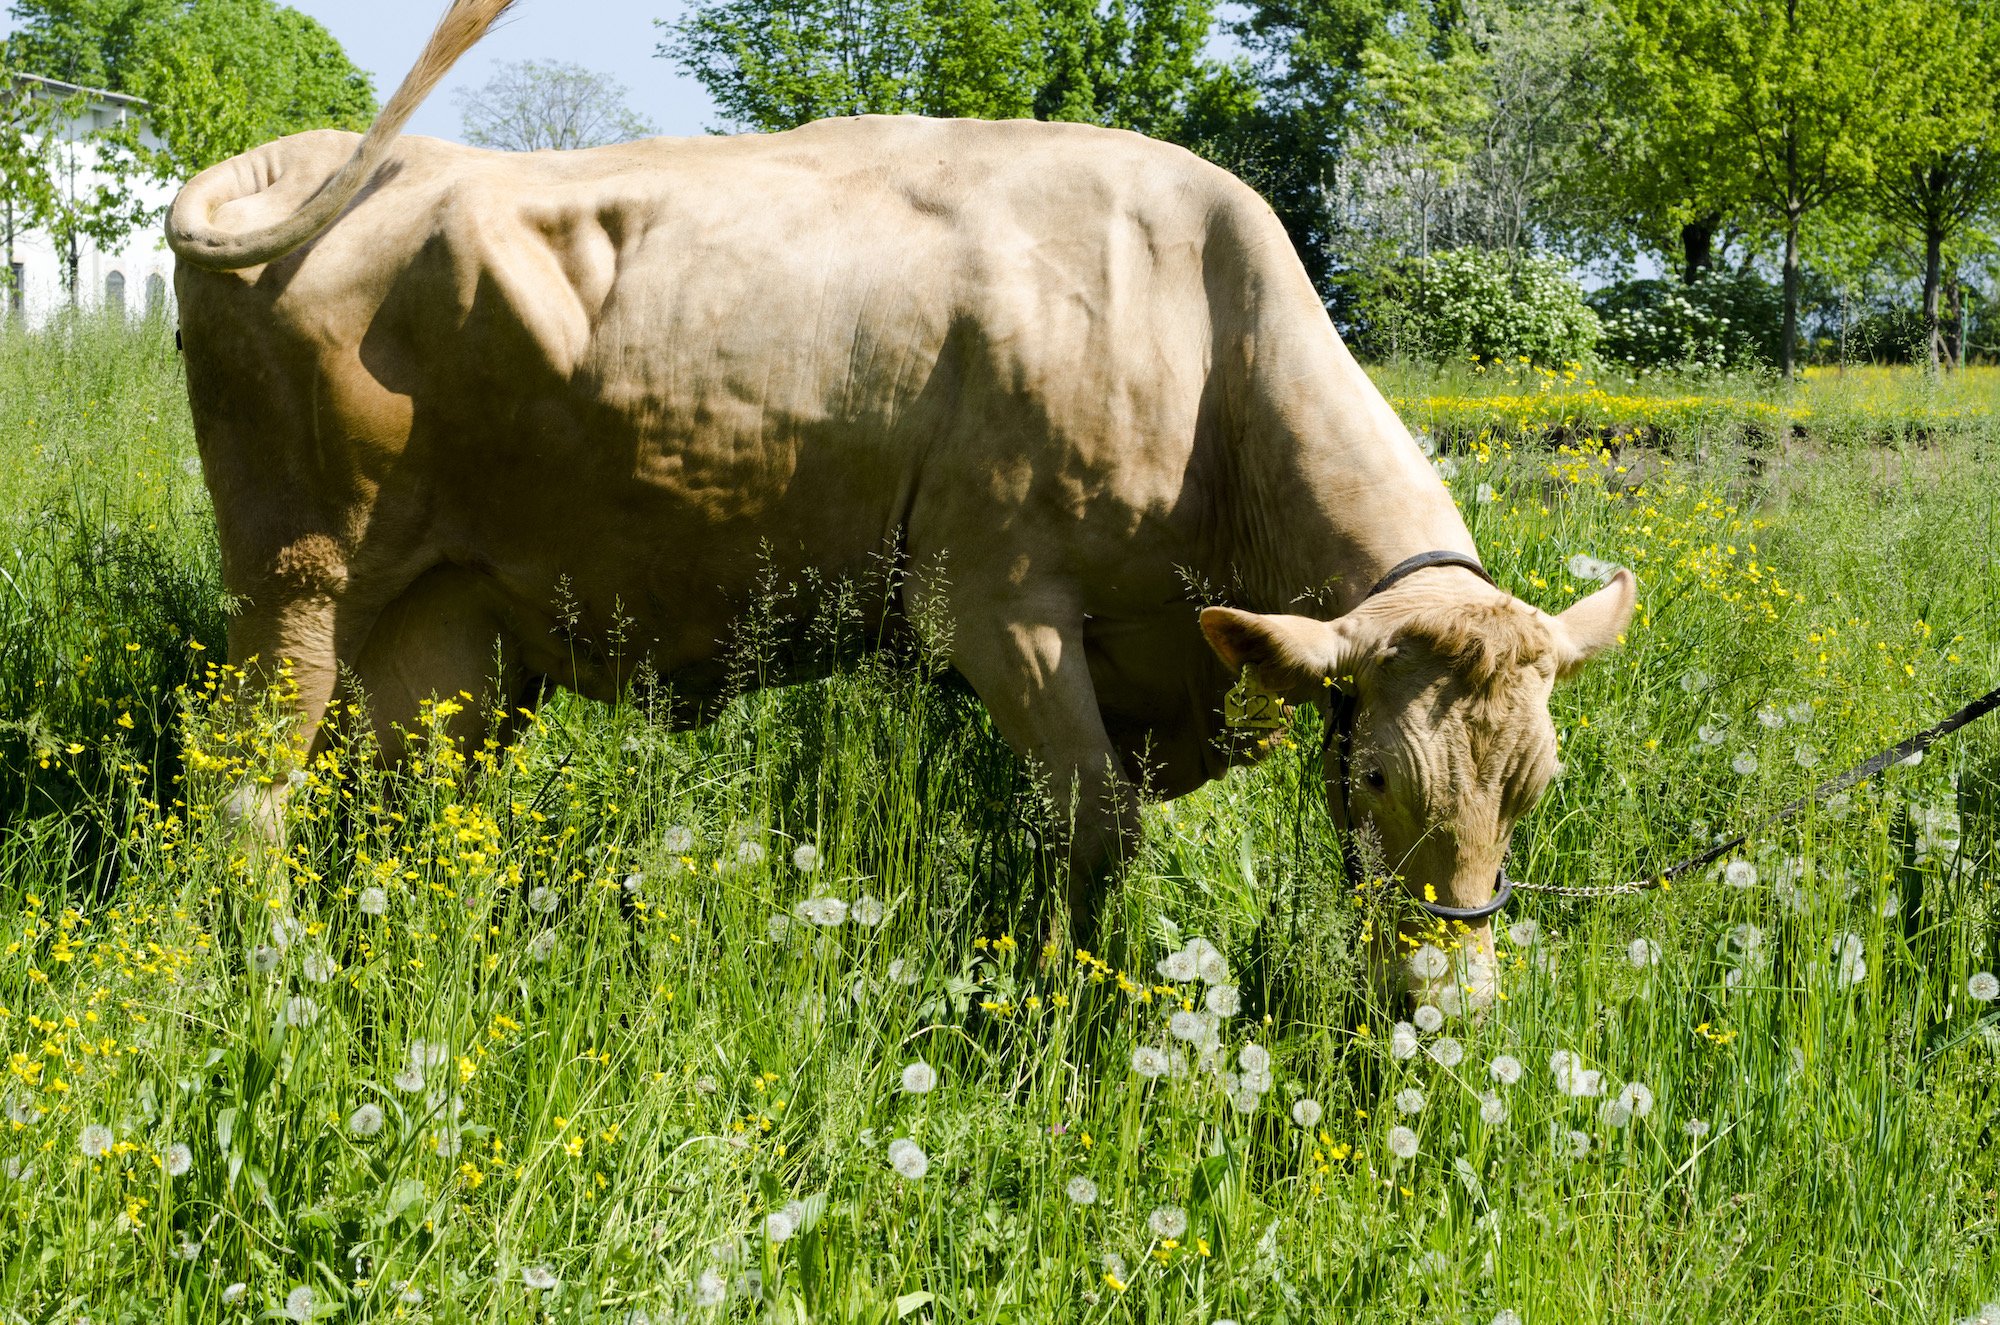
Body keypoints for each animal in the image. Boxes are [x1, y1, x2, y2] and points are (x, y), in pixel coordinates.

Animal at [172, 0, 1632, 1000]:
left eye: (1541, 785)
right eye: (1380, 774)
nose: (1444, 1006)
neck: (1199, 339)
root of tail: (349, 162)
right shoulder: (996, 606)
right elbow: (1095, 830)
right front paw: (1073, 999)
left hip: (449, 620)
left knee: (410, 803)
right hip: (296, 577)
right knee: (247, 787)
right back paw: (276, 972)